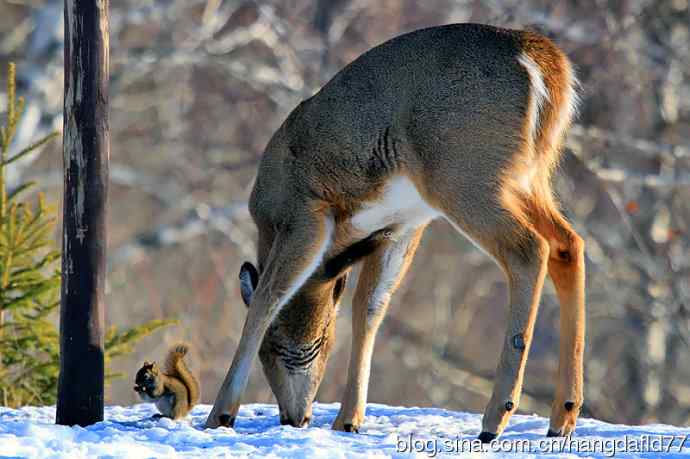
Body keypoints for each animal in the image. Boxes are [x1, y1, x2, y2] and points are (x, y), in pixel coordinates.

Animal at [207, 22, 584, 442]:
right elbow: (370, 307)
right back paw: (563, 415)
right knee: (568, 244)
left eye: (277, 347)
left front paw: (220, 415)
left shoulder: (304, 214)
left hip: (464, 175)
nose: (293, 418)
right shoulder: (401, 226)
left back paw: (495, 419)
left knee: (529, 249)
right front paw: (348, 419)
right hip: (531, 177)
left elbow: (267, 298)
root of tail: (541, 60)